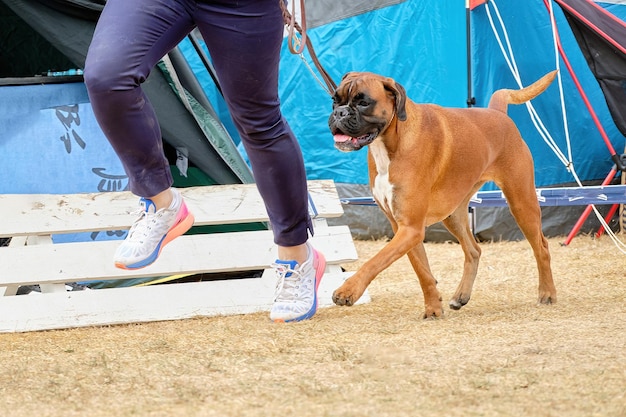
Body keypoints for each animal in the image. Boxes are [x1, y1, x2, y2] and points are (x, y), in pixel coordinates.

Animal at [326, 70, 556, 318]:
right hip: (453, 214)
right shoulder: (404, 228)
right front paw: (434, 308)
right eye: (335, 100)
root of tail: (497, 112)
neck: (390, 143)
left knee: (542, 247)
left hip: (521, 202)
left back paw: (547, 293)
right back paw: (461, 296)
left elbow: (376, 261)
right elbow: (422, 271)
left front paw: (348, 290)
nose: (339, 112)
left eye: (364, 102)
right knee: (473, 250)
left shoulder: (410, 228)